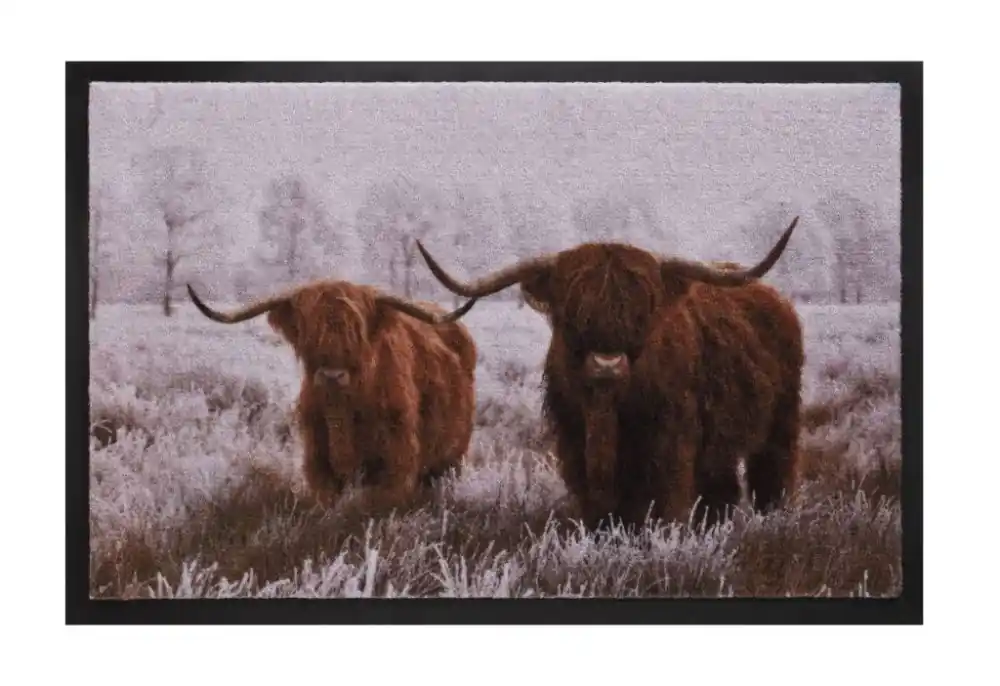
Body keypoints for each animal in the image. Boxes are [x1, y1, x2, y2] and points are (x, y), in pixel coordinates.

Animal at [186, 280, 479, 511]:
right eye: (309, 334)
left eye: (356, 333)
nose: (332, 376)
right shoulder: (318, 464)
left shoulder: (397, 464)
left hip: (452, 458)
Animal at [413, 218, 804, 531]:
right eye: (572, 312)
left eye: (643, 311)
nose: (606, 365)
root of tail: (775, 299)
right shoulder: (573, 443)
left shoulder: (671, 445)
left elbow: (666, 504)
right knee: (721, 491)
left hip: (781, 423)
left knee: (771, 478)